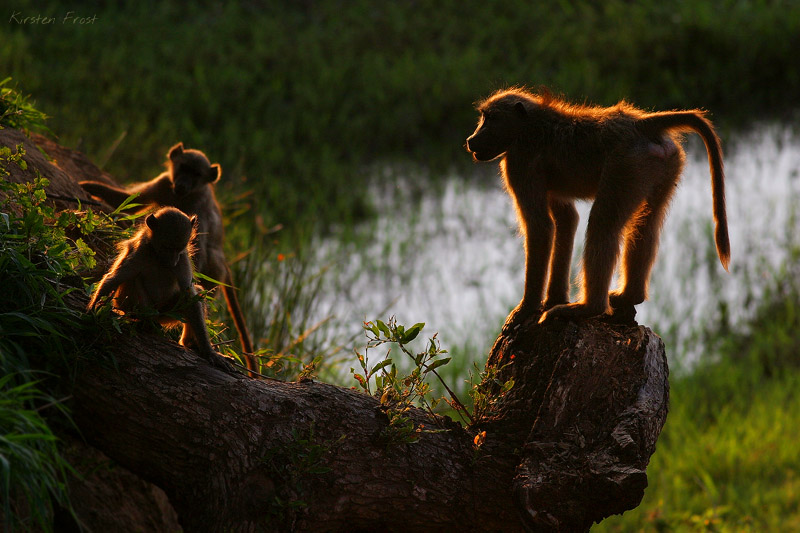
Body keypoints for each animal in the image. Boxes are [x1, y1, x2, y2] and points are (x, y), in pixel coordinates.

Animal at [87, 207, 233, 371]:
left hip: (166, 314)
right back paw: (145, 321)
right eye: (167, 247)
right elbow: (114, 278)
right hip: (131, 306)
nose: (173, 261)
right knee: (133, 280)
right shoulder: (139, 251)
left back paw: (189, 343)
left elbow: (189, 295)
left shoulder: (183, 258)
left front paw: (209, 352)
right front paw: (93, 310)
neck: (157, 256)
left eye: (178, 249)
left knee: (196, 295)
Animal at [465, 87, 730, 330]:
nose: (470, 140)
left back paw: (588, 308)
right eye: (483, 117)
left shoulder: (519, 162)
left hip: (625, 165)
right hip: (663, 163)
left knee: (603, 223)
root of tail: (639, 124)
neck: (529, 125)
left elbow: (540, 227)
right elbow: (566, 220)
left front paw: (525, 309)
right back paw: (629, 296)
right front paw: (554, 299)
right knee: (647, 223)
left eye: (490, 119)